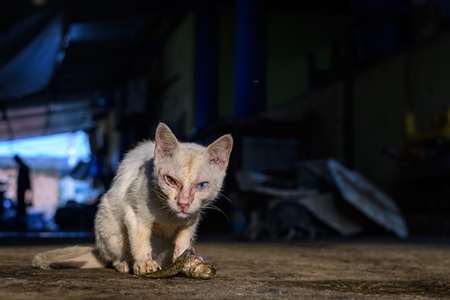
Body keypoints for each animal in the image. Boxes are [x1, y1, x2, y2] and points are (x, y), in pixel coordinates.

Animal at [31, 122, 232, 274]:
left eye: (202, 185)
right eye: (171, 180)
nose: (183, 203)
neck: (169, 215)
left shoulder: (191, 220)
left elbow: (184, 237)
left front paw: (184, 258)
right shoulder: (135, 214)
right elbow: (140, 239)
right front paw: (144, 262)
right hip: (107, 219)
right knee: (113, 256)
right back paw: (124, 264)